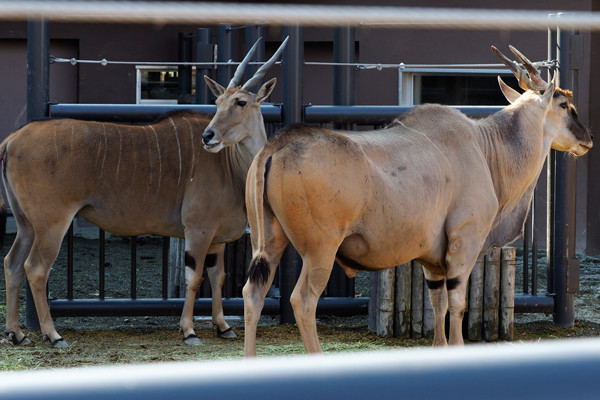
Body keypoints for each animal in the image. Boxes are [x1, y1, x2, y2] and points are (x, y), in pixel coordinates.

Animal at [1, 36, 288, 346]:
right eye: (217, 102)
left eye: (241, 101)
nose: (208, 136)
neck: (230, 166)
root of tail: (12, 140)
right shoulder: (198, 230)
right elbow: (194, 278)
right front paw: (189, 331)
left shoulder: (216, 239)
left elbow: (218, 276)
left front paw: (223, 326)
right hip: (51, 223)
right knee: (36, 269)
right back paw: (53, 335)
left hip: (26, 224)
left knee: (12, 264)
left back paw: (17, 333)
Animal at [241, 44, 592, 356]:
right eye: (564, 103)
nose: (587, 138)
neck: (485, 147)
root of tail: (275, 147)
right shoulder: (464, 243)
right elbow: (457, 303)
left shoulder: (432, 262)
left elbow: (438, 304)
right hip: (320, 251)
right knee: (303, 301)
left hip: (267, 244)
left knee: (252, 294)